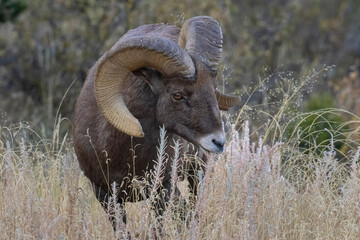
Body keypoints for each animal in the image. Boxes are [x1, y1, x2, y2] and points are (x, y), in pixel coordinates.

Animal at [74, 15, 239, 219]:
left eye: (211, 88)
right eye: (177, 94)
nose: (218, 141)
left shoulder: (163, 188)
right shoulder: (105, 194)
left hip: (197, 170)